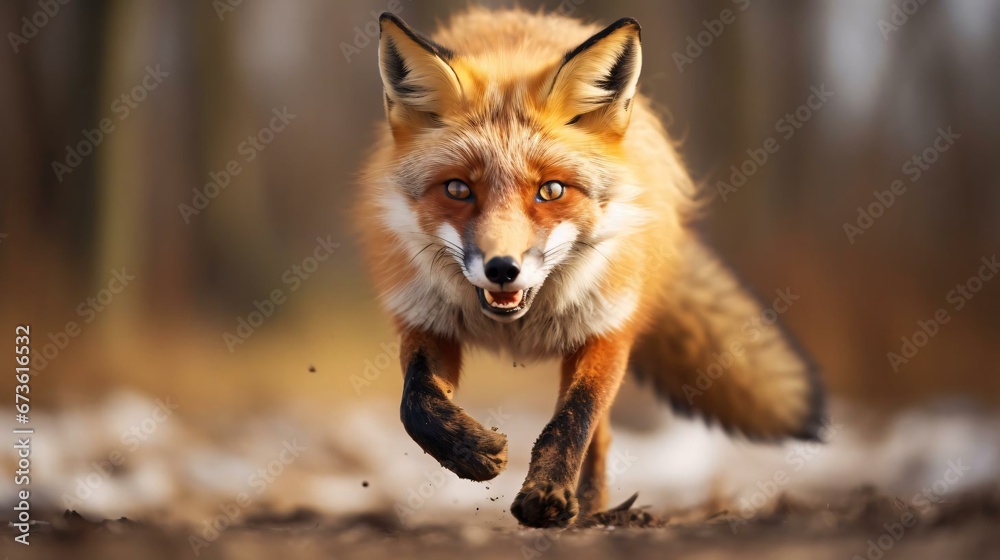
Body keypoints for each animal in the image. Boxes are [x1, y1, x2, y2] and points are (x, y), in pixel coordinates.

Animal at [358, 8, 825, 528]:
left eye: (551, 191)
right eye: (458, 189)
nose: (502, 270)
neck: (517, 325)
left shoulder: (606, 328)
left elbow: (574, 419)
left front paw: (547, 495)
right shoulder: (427, 320)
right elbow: (416, 404)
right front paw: (470, 451)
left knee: (598, 432)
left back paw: (594, 509)